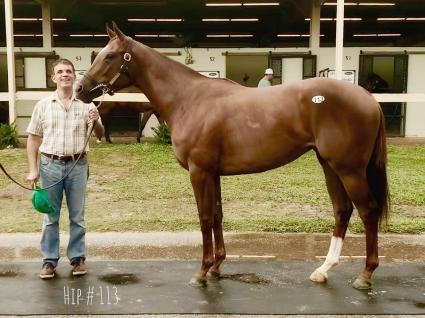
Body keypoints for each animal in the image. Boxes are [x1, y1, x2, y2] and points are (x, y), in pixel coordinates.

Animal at [76, 23, 388, 290]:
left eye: (110, 56)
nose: (80, 90)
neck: (189, 100)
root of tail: (368, 99)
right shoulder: (213, 173)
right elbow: (217, 216)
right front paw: (216, 267)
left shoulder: (199, 172)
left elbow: (204, 218)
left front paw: (202, 272)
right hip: (330, 166)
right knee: (342, 210)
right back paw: (323, 270)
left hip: (349, 170)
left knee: (368, 210)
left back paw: (365, 275)